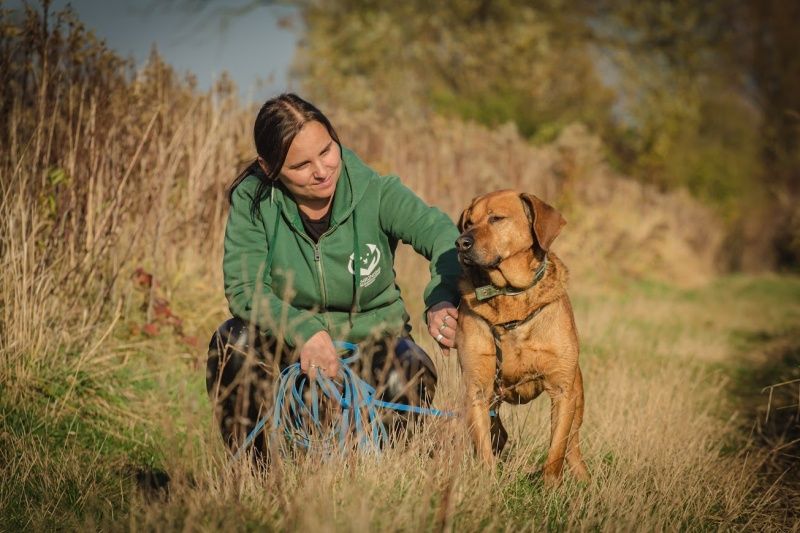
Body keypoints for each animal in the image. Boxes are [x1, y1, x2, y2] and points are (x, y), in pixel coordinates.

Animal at [456, 189, 588, 484]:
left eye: (496, 218)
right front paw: (488, 482)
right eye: (468, 222)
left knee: (572, 447)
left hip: (577, 394)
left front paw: (550, 487)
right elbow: (483, 448)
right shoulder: (477, 389)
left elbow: (556, 449)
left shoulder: (563, 390)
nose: (460, 243)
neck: (511, 296)